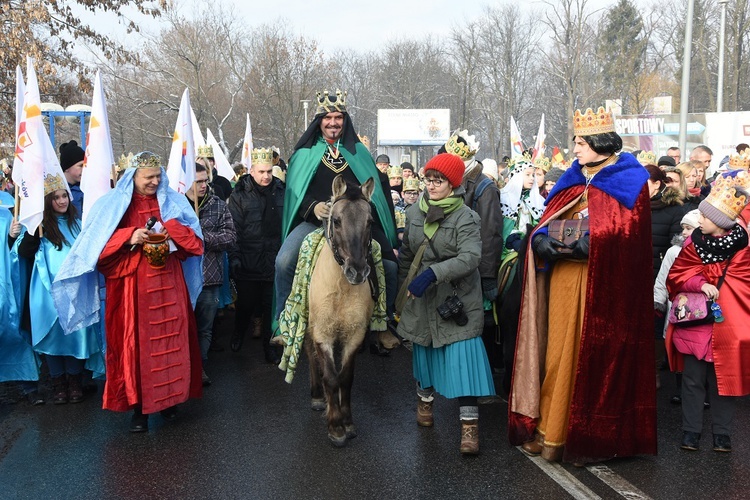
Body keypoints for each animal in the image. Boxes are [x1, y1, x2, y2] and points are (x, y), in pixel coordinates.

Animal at [306, 174, 376, 448]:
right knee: (310, 355)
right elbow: (330, 376)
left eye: (370, 221)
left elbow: (345, 377)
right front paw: (335, 427)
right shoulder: (322, 333)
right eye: (335, 221)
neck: (340, 288)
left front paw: (347, 422)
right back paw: (317, 396)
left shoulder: (354, 335)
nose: (357, 271)